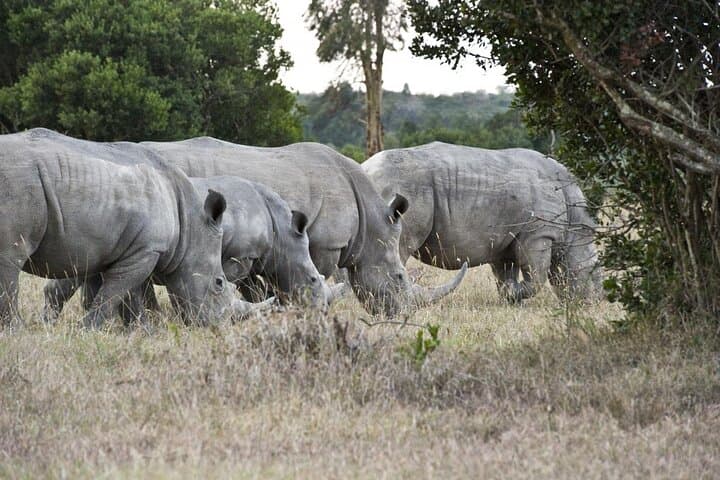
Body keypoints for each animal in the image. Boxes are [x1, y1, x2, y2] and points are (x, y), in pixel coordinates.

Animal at [0, 129, 239, 327]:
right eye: (219, 283)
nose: (218, 327)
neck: (190, 226)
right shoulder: (146, 249)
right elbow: (114, 293)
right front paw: (87, 329)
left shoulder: (126, 249)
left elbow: (128, 295)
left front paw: (141, 331)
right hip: (20, 182)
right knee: (11, 258)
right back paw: (16, 330)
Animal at [43, 175, 338, 320]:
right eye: (313, 279)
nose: (321, 313)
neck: (280, 231)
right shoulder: (239, 257)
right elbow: (232, 285)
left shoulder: (248, 258)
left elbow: (253, 289)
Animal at [361, 142, 602, 302]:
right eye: (593, 270)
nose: (596, 303)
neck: (576, 224)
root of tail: (366, 169)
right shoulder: (539, 232)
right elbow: (537, 275)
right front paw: (516, 293)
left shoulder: (504, 241)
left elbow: (506, 274)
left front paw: (510, 298)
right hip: (401, 186)